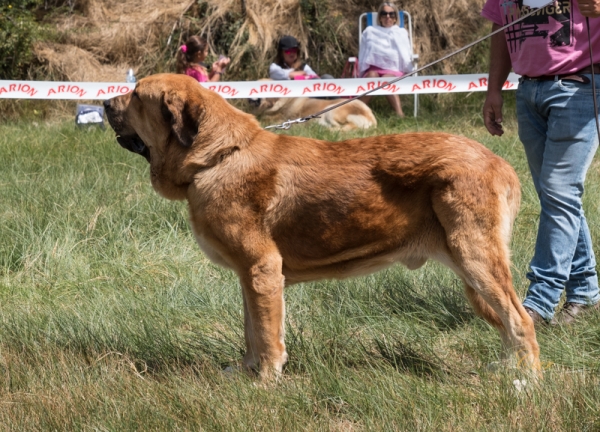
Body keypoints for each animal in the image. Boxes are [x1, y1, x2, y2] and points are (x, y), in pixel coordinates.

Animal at [105, 72, 540, 376]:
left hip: (476, 258)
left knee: (520, 320)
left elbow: (267, 334)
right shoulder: (251, 276)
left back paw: (524, 382)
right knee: (508, 322)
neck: (218, 156)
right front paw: (245, 373)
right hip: (470, 268)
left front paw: (265, 381)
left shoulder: (262, 269)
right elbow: (251, 330)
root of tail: (499, 163)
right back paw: (507, 369)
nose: (106, 102)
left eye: (137, 95)